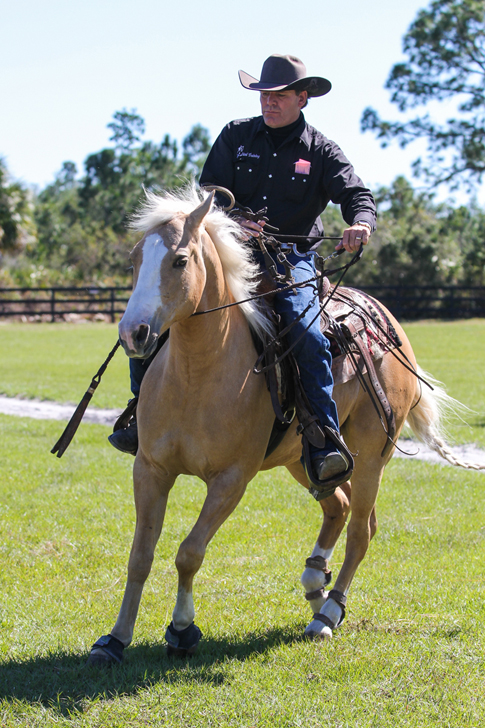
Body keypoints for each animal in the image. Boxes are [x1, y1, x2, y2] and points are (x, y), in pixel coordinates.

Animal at [86, 189, 476, 664]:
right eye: (135, 259)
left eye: (179, 260)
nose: (134, 333)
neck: (198, 372)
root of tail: (386, 320)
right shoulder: (150, 469)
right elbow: (140, 555)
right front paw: (115, 638)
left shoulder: (231, 480)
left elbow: (189, 553)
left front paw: (181, 629)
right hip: (306, 458)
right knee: (339, 504)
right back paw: (315, 584)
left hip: (371, 455)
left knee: (361, 530)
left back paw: (327, 613)